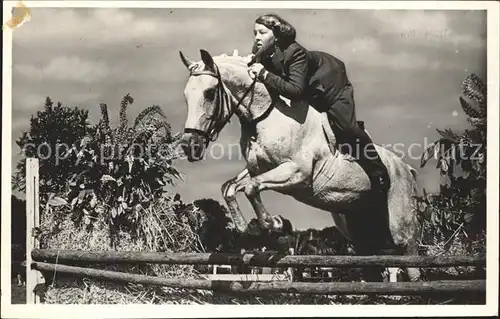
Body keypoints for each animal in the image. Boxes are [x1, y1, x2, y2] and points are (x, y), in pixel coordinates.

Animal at [178, 49, 420, 282]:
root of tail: (406, 168)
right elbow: (230, 188)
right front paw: (245, 227)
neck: (266, 117)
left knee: (412, 266)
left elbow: (251, 187)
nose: (190, 146)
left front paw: (273, 224)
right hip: (357, 227)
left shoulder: (297, 174)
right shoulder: (259, 170)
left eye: (210, 93)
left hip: (400, 229)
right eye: (186, 96)